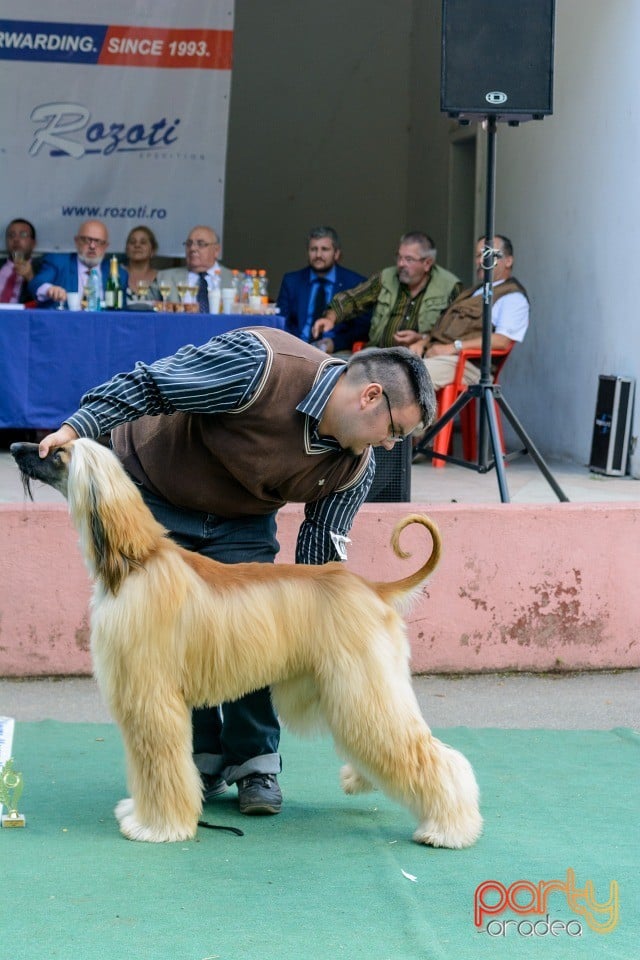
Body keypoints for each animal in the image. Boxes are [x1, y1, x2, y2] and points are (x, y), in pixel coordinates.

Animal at [11, 436, 480, 848]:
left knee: (431, 755)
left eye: (58, 452)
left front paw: (157, 826)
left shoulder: (152, 696)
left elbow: (159, 766)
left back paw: (448, 828)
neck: (135, 562)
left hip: (363, 687)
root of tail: (372, 586)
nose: (15, 447)